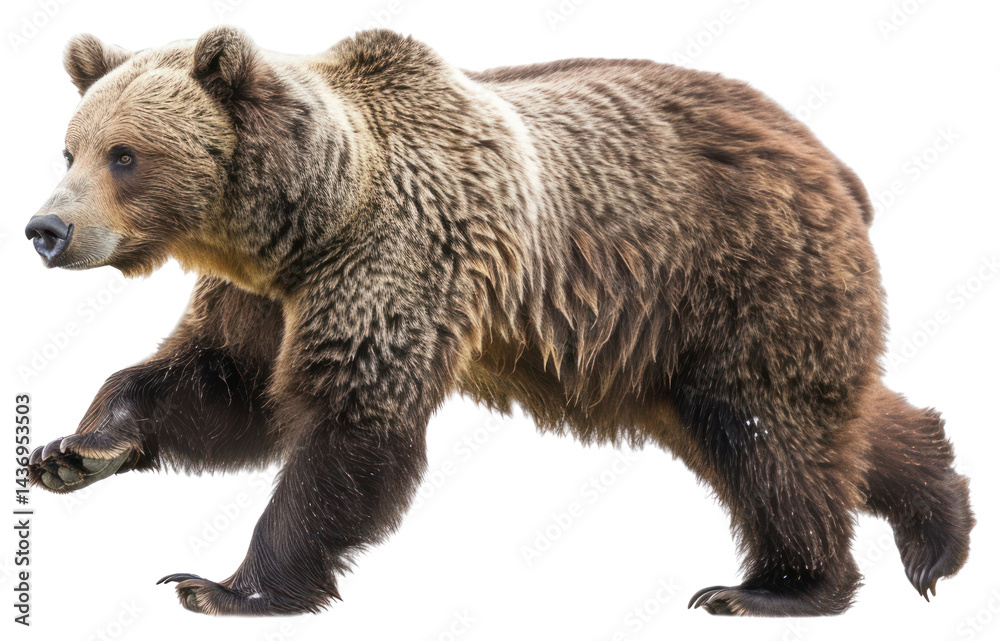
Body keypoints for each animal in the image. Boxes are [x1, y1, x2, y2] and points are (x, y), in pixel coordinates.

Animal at [24, 26, 973, 617]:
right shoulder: (266, 293)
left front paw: (225, 584)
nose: (45, 229)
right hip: (671, 342)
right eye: (69, 147)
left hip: (737, 273)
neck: (308, 216)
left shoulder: (394, 256)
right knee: (829, 419)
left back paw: (774, 586)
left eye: (125, 154)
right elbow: (224, 384)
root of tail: (833, 163)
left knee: (771, 430)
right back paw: (940, 528)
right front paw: (73, 449)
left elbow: (351, 421)